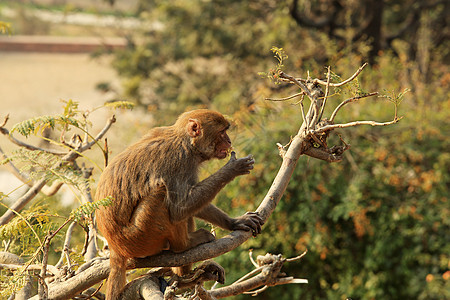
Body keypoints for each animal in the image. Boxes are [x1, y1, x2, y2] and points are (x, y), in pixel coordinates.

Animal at [96, 109, 264, 298]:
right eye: (222, 132)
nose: (229, 141)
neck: (187, 143)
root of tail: (115, 248)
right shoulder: (179, 161)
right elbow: (179, 208)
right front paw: (232, 169)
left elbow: (192, 207)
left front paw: (235, 222)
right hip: (139, 237)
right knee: (161, 195)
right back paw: (184, 246)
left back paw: (186, 274)